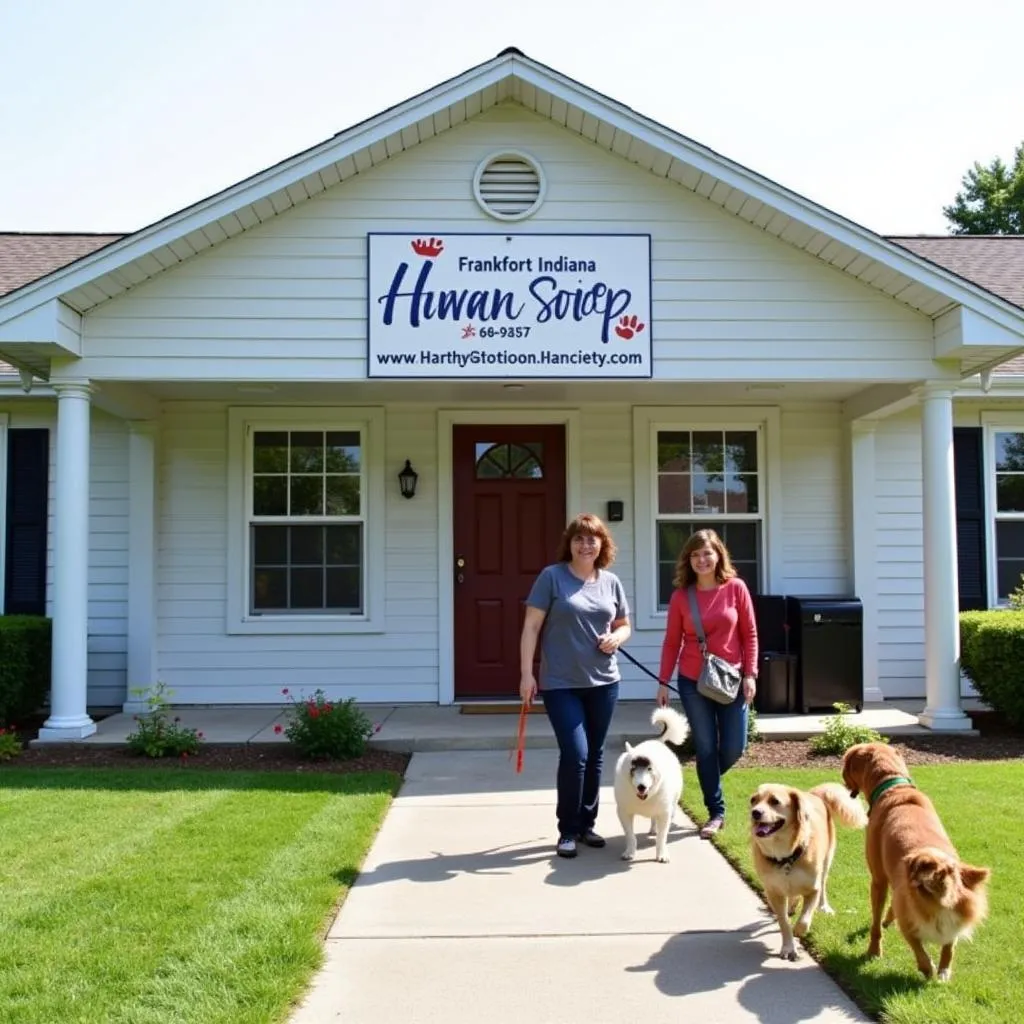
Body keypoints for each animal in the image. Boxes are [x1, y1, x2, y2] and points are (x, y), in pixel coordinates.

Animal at [614, 704, 688, 864]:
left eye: (649, 769)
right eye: (633, 768)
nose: (641, 787)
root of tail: (658, 742)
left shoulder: (665, 813)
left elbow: (662, 836)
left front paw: (662, 854)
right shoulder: (623, 812)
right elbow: (630, 835)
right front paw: (629, 852)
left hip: (672, 806)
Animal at [749, 782, 868, 958]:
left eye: (774, 801)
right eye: (753, 800)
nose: (755, 812)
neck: (785, 855)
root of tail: (814, 794)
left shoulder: (813, 889)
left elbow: (805, 919)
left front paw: (798, 931)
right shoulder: (773, 892)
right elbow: (783, 921)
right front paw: (788, 947)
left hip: (827, 860)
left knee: (823, 884)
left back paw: (824, 907)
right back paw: (792, 907)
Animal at [839, 741, 991, 978]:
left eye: (846, 765)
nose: (841, 775)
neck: (895, 787)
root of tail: (940, 871)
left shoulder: (879, 880)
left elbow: (876, 925)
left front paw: (874, 950)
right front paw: (887, 920)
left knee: (916, 943)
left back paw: (925, 967)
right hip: (961, 905)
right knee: (949, 945)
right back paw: (942, 971)